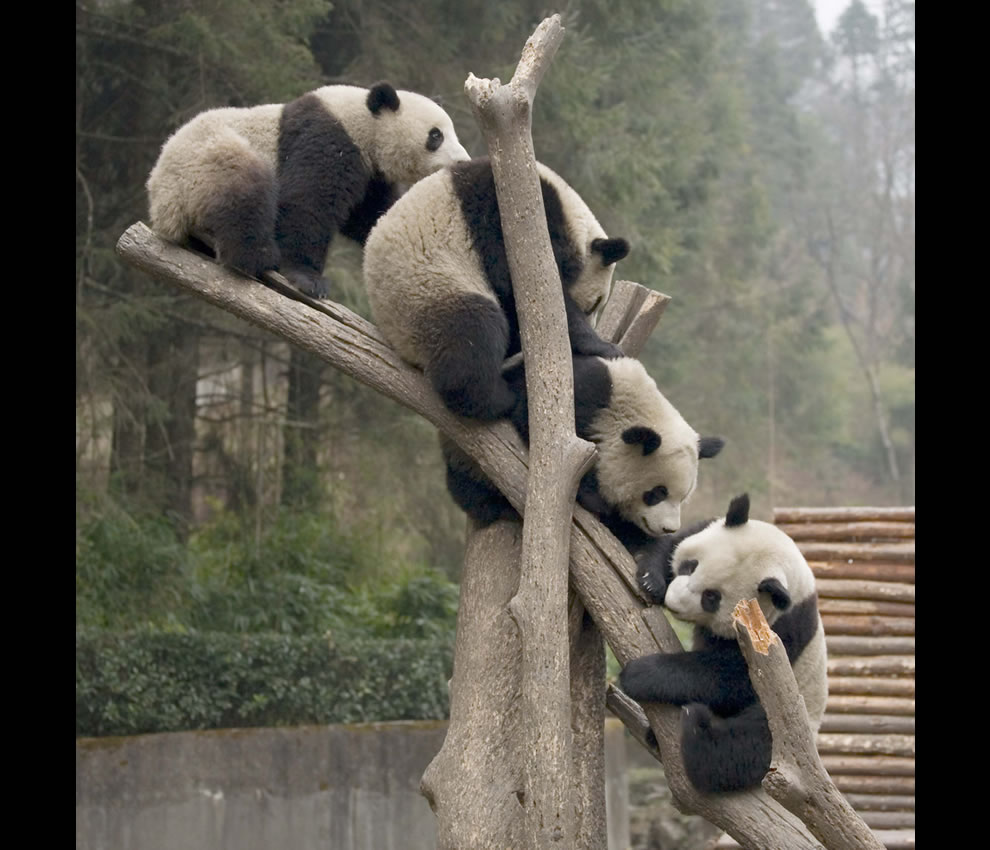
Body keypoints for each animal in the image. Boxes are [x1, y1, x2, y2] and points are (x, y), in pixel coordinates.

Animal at [145, 83, 470, 294]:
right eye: (436, 135)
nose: (462, 161)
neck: (362, 121)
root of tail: (159, 200)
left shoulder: (370, 172)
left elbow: (370, 214)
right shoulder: (327, 138)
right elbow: (308, 203)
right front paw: (308, 278)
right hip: (206, 164)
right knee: (245, 192)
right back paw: (259, 256)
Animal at [366, 157, 636, 420]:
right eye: (594, 304)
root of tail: (400, 344)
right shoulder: (506, 219)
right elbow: (526, 291)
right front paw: (602, 346)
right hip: (428, 290)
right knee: (474, 334)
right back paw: (498, 398)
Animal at [446, 354, 724, 548]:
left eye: (683, 497)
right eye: (657, 493)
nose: (669, 529)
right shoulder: (582, 395)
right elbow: (530, 420)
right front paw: (593, 496)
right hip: (466, 459)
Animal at [620, 494, 828, 792]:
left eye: (711, 597)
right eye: (691, 566)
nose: (673, 601)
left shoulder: (783, 628)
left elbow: (732, 677)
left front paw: (640, 674)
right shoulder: (704, 528)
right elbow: (668, 544)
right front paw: (651, 580)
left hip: (789, 721)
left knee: (742, 748)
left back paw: (696, 727)